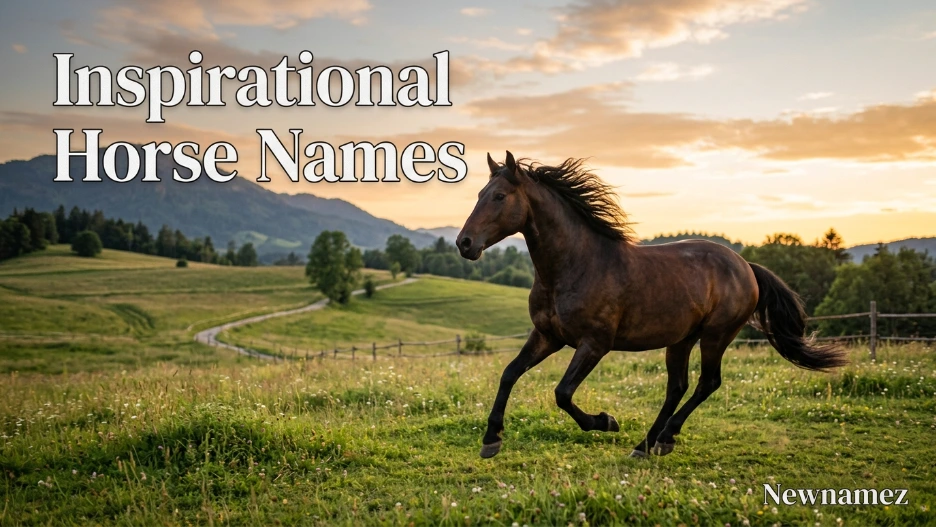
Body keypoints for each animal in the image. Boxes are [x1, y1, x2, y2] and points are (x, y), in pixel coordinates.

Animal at [456, 151, 847, 458]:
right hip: (682, 340)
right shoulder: (547, 336)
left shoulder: (594, 343)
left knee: (707, 383)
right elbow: (510, 373)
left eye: (499, 196)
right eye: (478, 194)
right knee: (678, 387)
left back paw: (661, 439)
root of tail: (746, 267)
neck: (574, 265)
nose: (464, 243)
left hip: (716, 335)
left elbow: (562, 393)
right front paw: (491, 440)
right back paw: (648, 444)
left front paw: (606, 421)